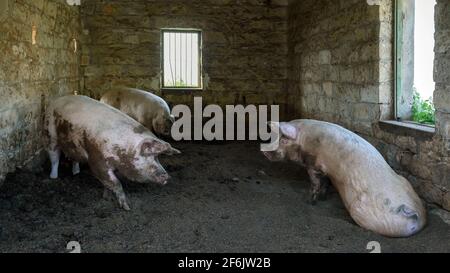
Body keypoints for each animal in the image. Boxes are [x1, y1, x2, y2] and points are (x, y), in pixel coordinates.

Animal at [44, 94, 180, 209]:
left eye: (157, 157)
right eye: (146, 155)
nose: (166, 176)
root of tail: (56, 100)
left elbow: (108, 184)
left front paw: (106, 197)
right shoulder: (97, 161)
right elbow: (116, 183)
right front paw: (126, 207)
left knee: (74, 158)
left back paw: (76, 173)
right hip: (50, 134)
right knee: (54, 156)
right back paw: (53, 177)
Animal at [262, 119, 428, 236]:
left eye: (283, 140)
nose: (263, 151)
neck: (305, 140)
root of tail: (416, 214)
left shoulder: (314, 165)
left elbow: (316, 183)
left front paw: (310, 202)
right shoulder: (326, 171)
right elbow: (326, 183)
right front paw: (323, 198)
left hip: (361, 211)